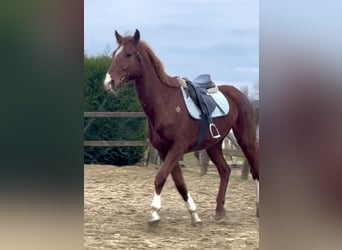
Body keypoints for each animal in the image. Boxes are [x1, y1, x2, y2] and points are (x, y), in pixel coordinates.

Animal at [104, 29, 260, 227]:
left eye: (128, 54)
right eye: (114, 54)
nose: (109, 82)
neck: (165, 103)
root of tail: (239, 94)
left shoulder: (177, 148)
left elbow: (161, 177)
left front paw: (154, 215)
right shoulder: (164, 150)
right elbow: (179, 182)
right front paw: (194, 215)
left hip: (245, 139)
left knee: (254, 168)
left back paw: (257, 208)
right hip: (214, 145)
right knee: (225, 171)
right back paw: (219, 210)